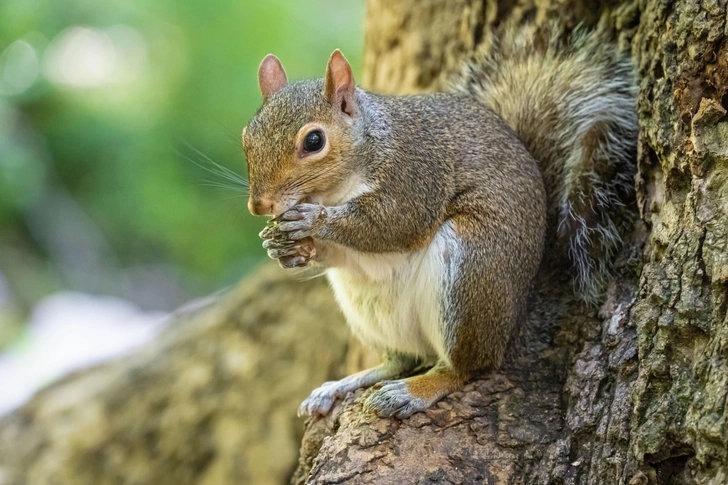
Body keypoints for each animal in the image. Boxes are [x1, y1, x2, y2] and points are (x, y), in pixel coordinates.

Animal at [242, 22, 636, 416]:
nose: (259, 206)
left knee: (467, 368)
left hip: (471, 269)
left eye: (313, 141)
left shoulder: (415, 176)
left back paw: (412, 391)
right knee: (401, 360)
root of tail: (517, 311)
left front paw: (314, 220)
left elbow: (389, 225)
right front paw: (284, 247)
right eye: (247, 137)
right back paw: (343, 384)